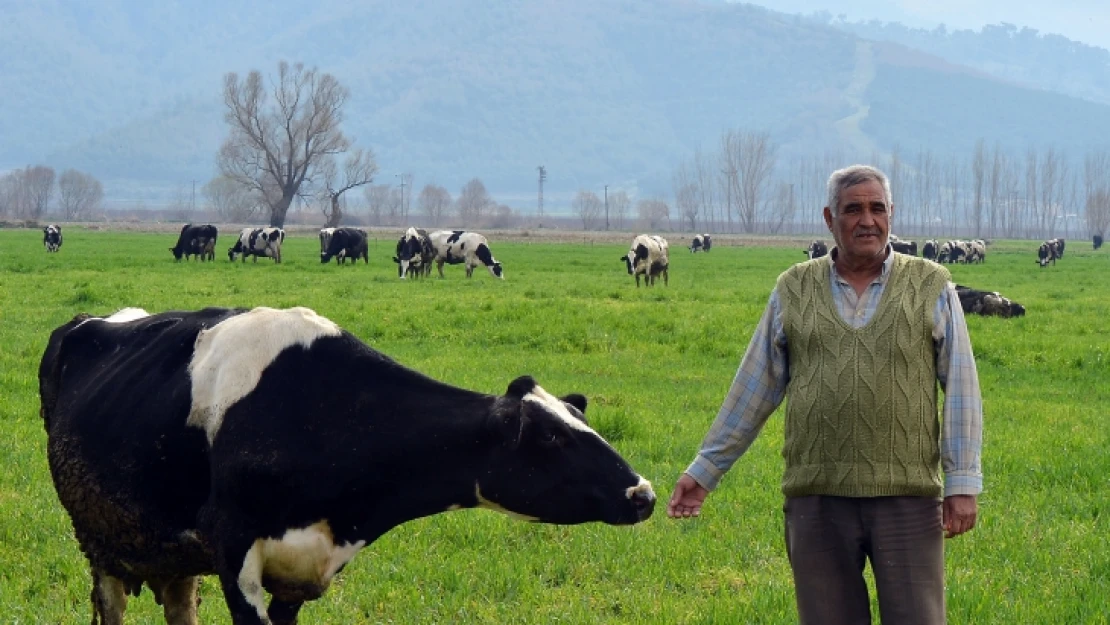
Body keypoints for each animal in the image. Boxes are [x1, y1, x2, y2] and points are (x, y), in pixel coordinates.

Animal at [39, 306, 652, 625]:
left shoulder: (298, 572)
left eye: (581, 419)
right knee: (112, 602)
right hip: (98, 539)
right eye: (552, 437)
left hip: (170, 553)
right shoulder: (235, 555)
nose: (643, 493)